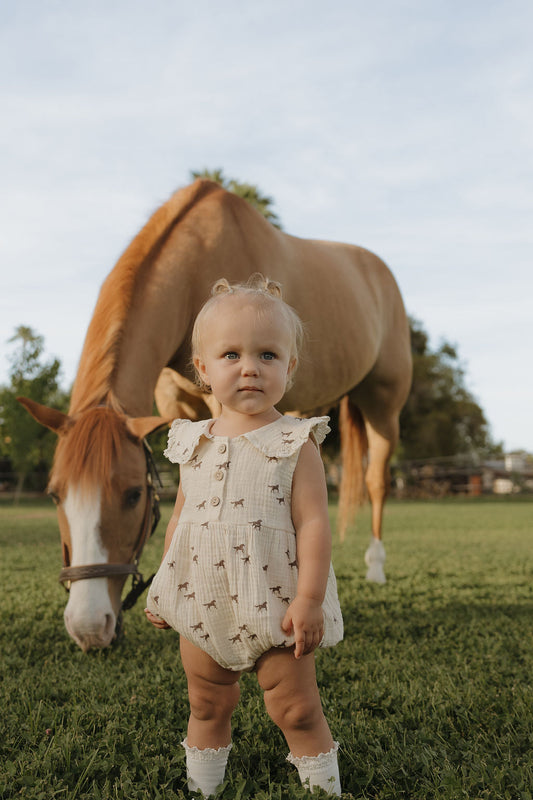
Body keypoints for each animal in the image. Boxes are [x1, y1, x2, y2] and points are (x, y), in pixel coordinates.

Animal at [19, 179, 412, 651]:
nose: (90, 628)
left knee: (376, 481)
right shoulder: (177, 410)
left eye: (133, 495)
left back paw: (375, 566)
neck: (193, 275)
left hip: (383, 406)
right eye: (54, 495)